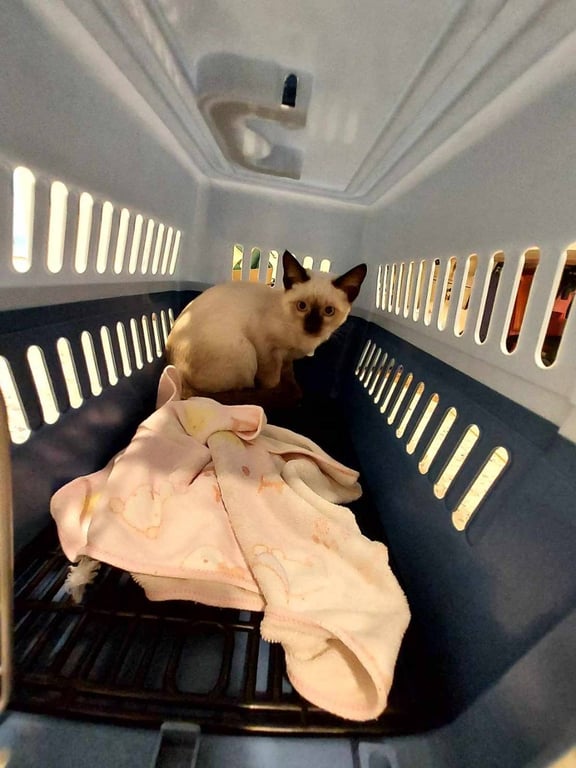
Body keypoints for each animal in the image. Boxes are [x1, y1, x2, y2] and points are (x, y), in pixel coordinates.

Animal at [165, 250, 367, 407]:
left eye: (329, 311)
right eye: (302, 306)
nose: (312, 326)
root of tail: (175, 368)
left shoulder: (286, 357)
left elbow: (287, 370)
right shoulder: (268, 351)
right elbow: (272, 381)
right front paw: (280, 389)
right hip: (246, 351)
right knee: (241, 390)